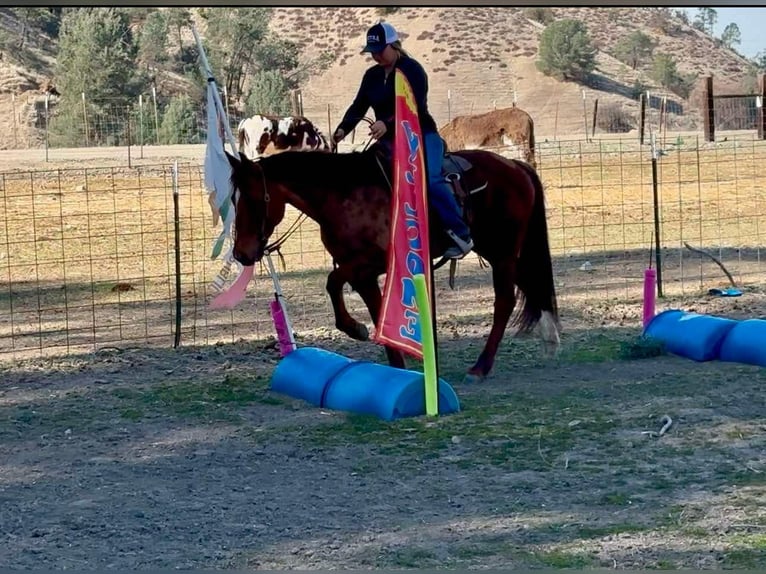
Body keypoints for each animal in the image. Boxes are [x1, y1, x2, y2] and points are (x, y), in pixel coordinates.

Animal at [225, 145, 561, 383]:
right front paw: (397, 365)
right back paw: (549, 339)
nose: (242, 253)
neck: (344, 195)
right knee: (530, 285)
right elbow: (374, 311)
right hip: (500, 252)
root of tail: (516, 166)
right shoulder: (361, 274)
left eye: (253, 199)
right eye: (232, 199)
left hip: (503, 253)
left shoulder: (369, 265)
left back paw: (480, 367)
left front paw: (356, 329)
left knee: (504, 301)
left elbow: (333, 282)